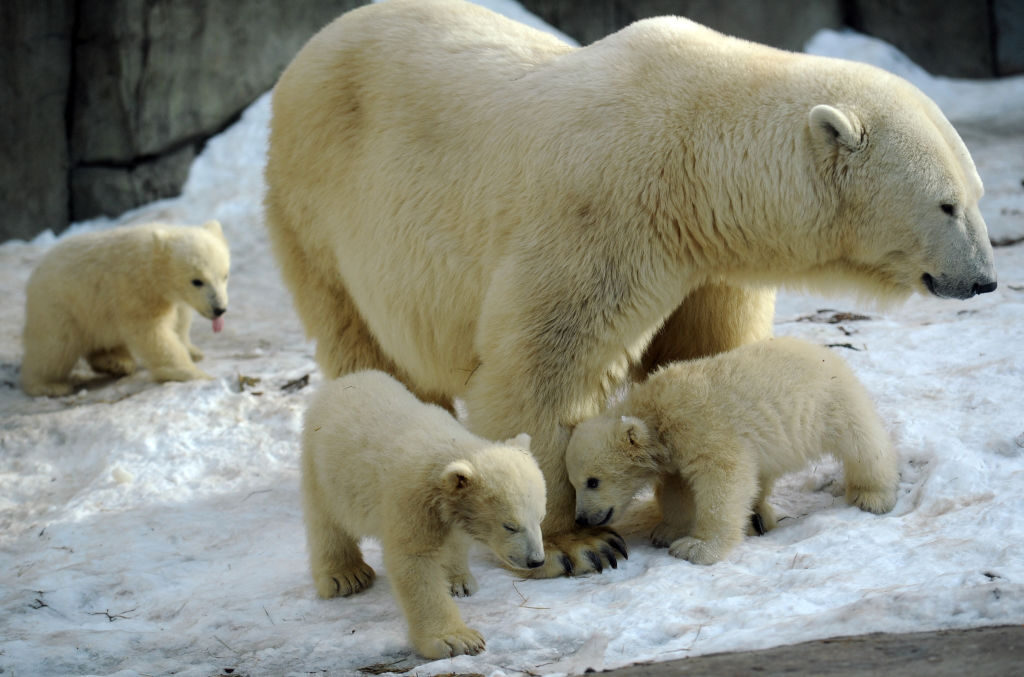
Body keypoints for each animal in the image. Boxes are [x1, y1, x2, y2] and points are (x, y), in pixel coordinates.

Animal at [20, 220, 230, 395]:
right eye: (197, 281)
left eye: (225, 275)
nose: (219, 309)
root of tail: (35, 273)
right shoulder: (136, 291)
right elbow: (152, 334)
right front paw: (196, 375)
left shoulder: (169, 298)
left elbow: (180, 320)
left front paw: (194, 352)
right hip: (59, 305)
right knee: (55, 346)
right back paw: (48, 385)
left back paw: (117, 363)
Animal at [301, 368, 548, 659]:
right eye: (510, 525)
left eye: (540, 518)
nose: (536, 561)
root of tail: (345, 380)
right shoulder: (410, 498)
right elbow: (415, 563)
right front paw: (456, 640)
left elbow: (453, 540)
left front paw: (459, 581)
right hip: (322, 465)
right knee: (326, 521)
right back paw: (345, 576)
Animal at [569, 337, 897, 565]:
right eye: (573, 484)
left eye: (593, 481)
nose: (582, 518)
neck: (657, 412)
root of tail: (822, 351)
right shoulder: (676, 452)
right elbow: (679, 490)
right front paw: (666, 531)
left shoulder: (702, 427)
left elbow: (724, 481)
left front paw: (695, 548)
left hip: (828, 403)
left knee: (862, 442)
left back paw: (873, 496)